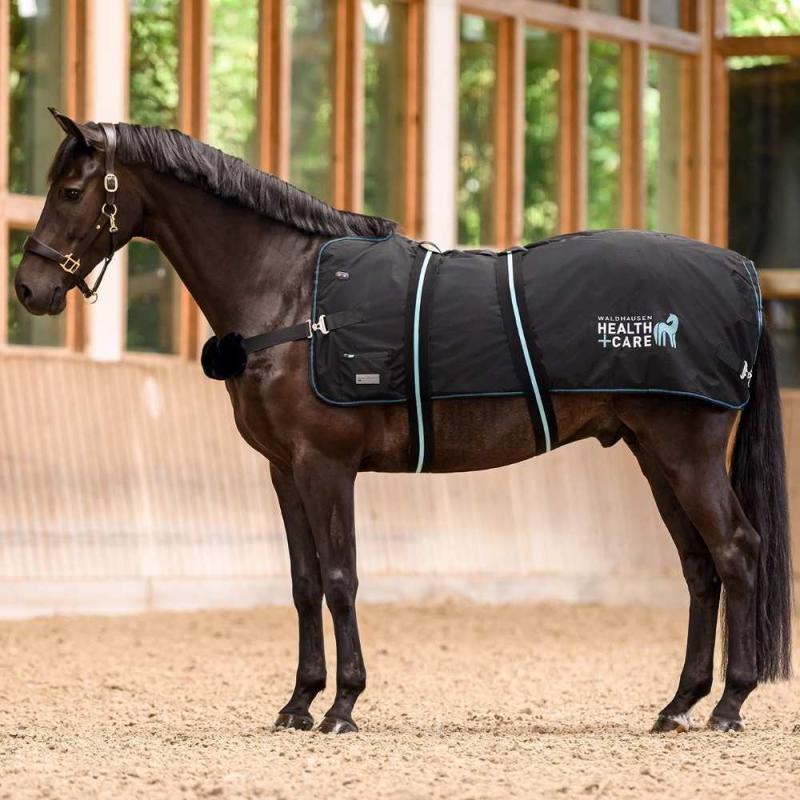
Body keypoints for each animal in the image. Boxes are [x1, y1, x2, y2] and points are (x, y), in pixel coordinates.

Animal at [14, 110, 791, 735]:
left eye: (73, 191)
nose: (29, 287)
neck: (291, 291)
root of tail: (742, 271)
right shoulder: (284, 469)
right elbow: (303, 582)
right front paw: (298, 702)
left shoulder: (325, 465)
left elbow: (340, 577)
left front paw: (341, 705)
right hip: (652, 453)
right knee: (699, 568)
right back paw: (679, 704)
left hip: (686, 453)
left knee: (736, 551)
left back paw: (729, 705)